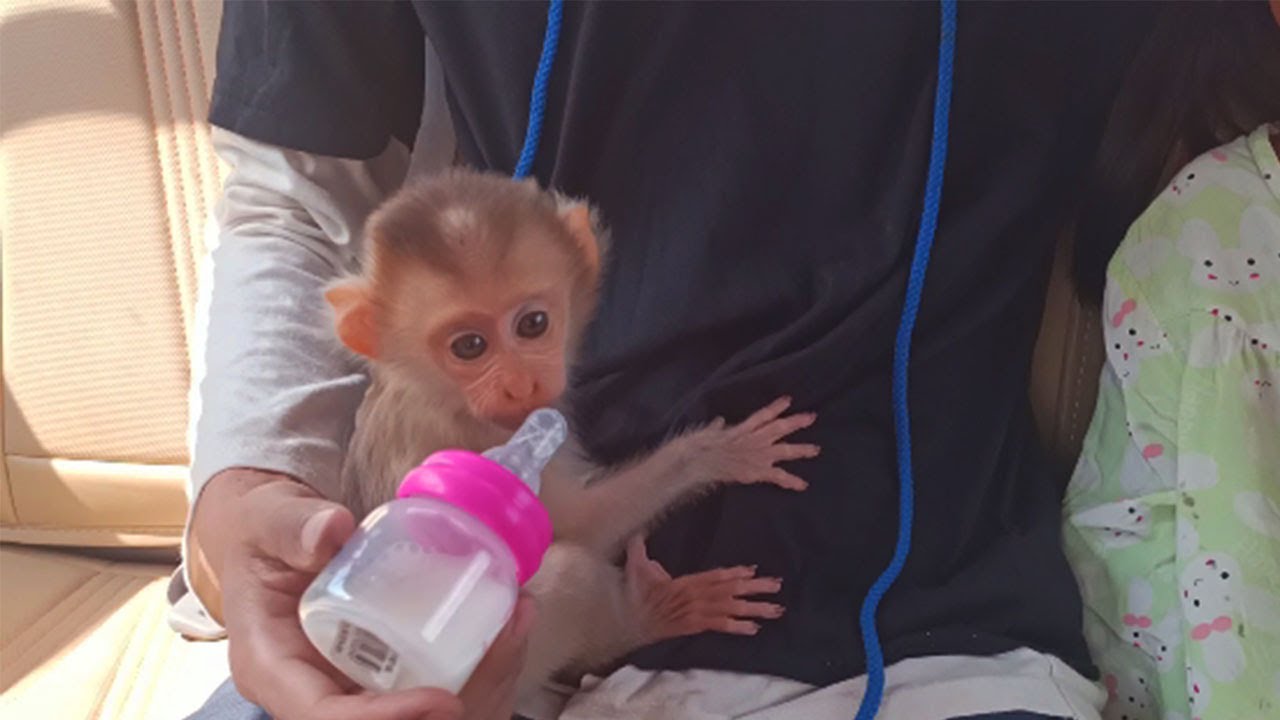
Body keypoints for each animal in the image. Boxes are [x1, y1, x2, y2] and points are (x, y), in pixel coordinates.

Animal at [324, 168, 821, 703]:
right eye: (469, 346)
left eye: (533, 323)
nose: (521, 384)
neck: (439, 394)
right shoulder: (464, 439)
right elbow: (581, 528)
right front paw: (719, 454)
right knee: (570, 570)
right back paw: (648, 618)